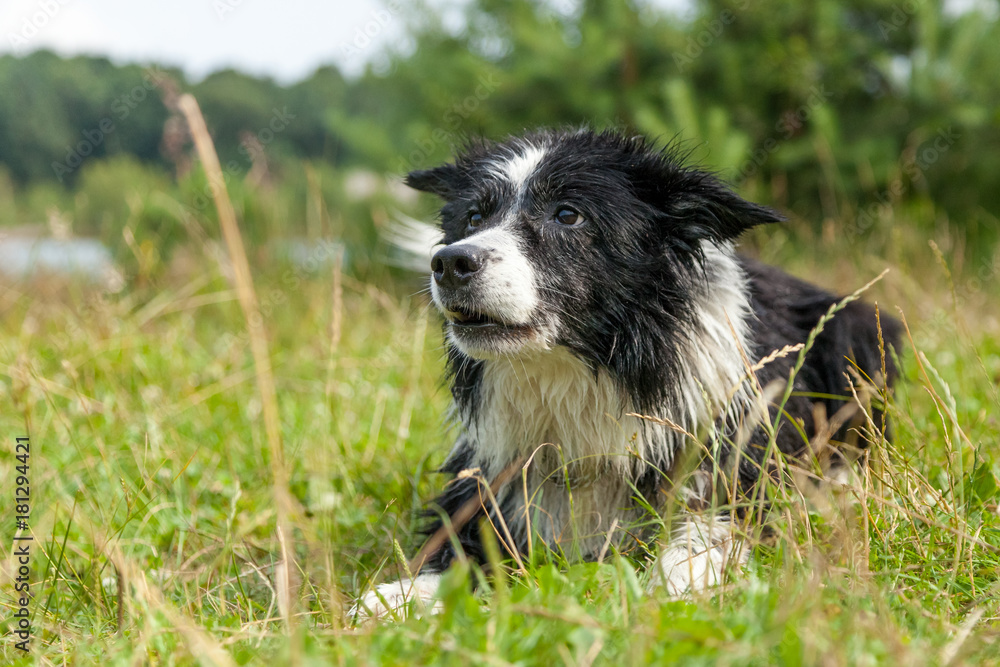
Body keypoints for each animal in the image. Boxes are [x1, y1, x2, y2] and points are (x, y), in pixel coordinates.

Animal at [358, 128, 900, 620]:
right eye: (473, 216)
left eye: (568, 215)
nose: (449, 261)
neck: (585, 374)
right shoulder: (494, 473)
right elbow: (458, 544)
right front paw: (402, 596)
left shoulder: (733, 457)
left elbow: (714, 528)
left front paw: (678, 580)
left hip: (859, 330)